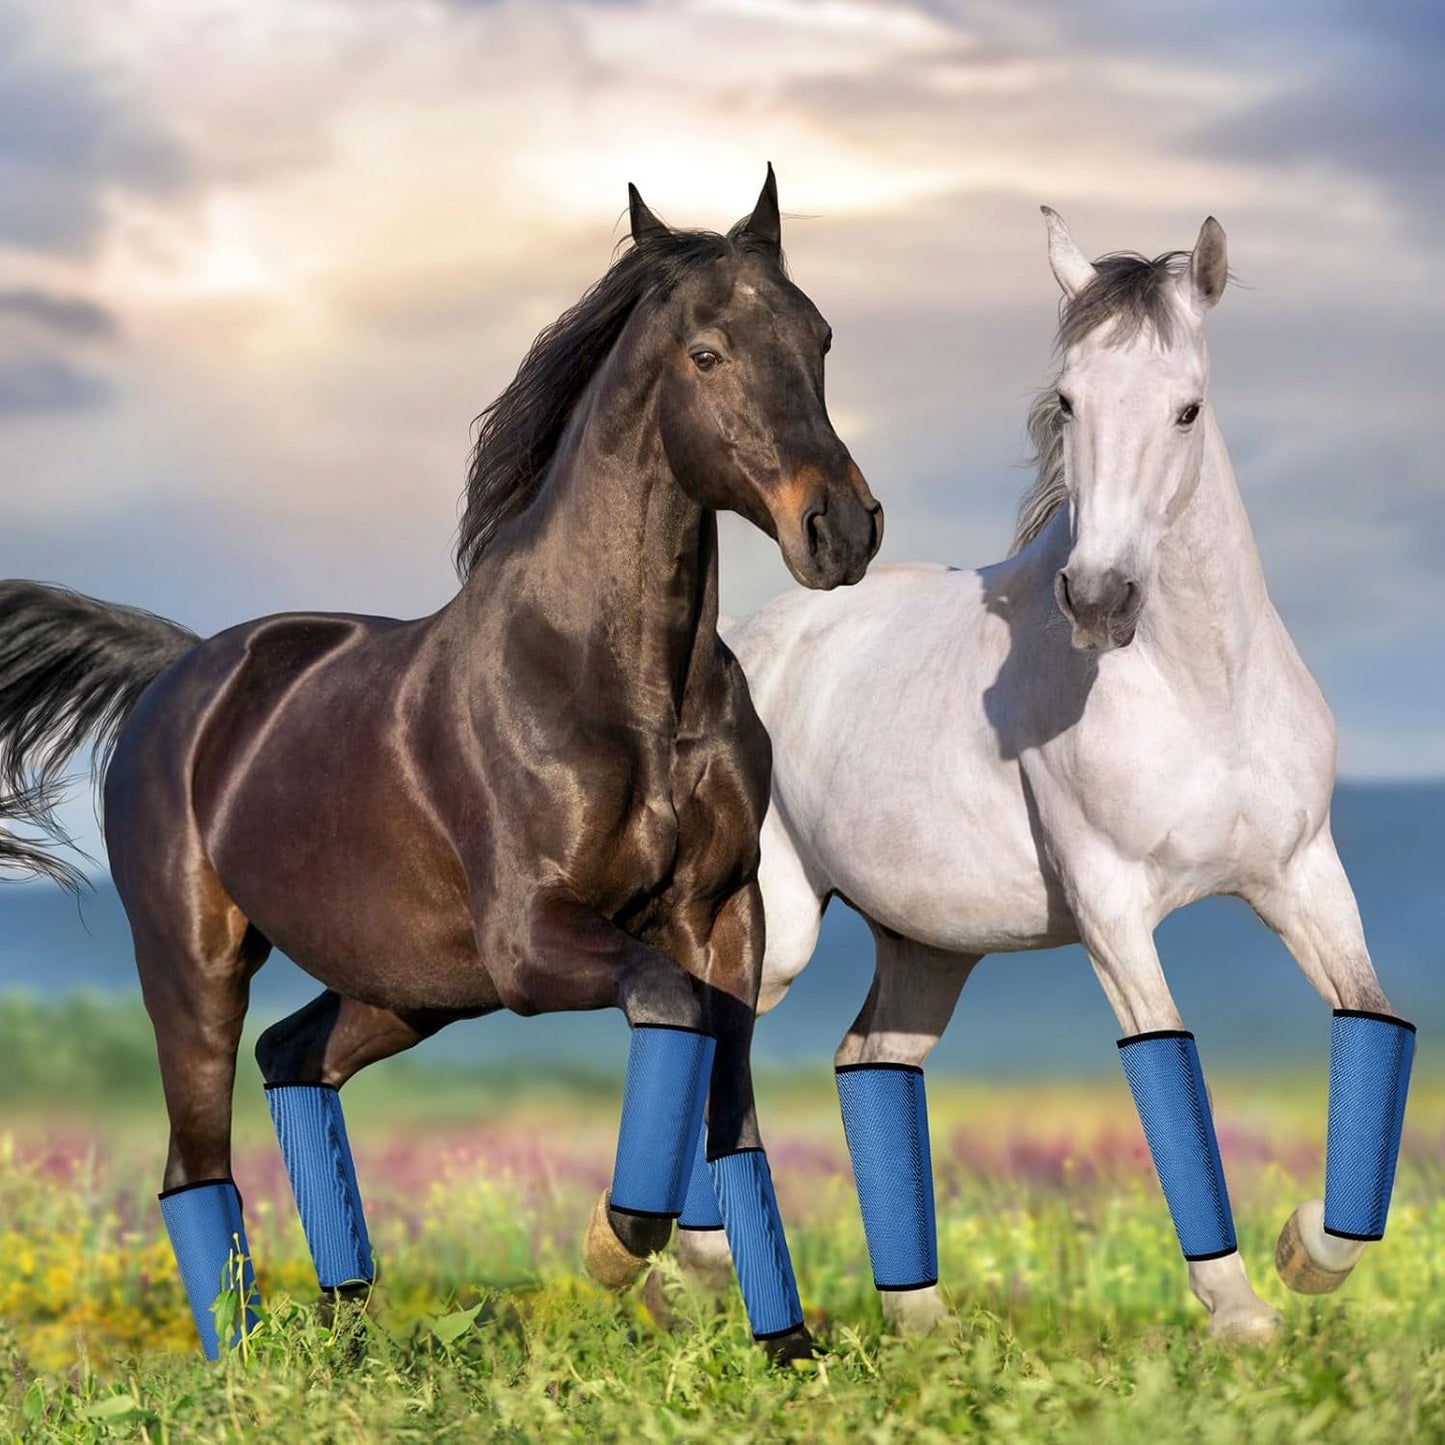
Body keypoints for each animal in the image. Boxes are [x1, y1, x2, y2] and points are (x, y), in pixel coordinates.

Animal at [0, 168, 882, 1364]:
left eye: (819, 336)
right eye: (705, 352)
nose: (842, 529)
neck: (624, 687)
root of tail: (181, 670)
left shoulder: (720, 915)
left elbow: (729, 1108)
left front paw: (787, 1350)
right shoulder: (532, 939)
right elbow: (669, 1008)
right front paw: (620, 1238)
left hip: (410, 986)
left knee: (293, 1056)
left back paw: (345, 1329)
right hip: (196, 965)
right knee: (194, 1163)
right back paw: (250, 1366)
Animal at [669, 209, 1414, 1341]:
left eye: (1187, 406)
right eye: (1066, 400)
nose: (1099, 598)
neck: (1200, 691)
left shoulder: (1300, 876)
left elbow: (1368, 1017)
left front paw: (1305, 1250)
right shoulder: (1111, 905)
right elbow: (1164, 1054)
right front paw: (1238, 1308)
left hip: (928, 947)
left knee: (869, 1061)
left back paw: (920, 1317)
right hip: (780, 925)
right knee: (713, 1033)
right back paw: (686, 1261)